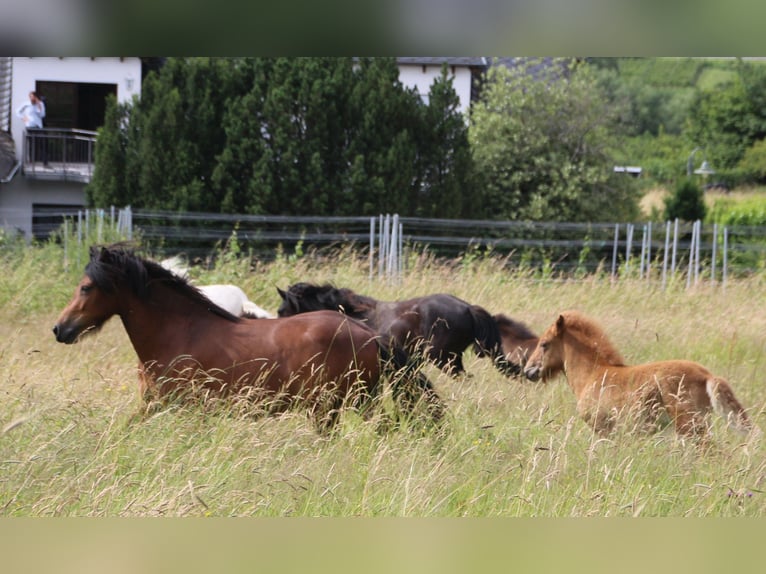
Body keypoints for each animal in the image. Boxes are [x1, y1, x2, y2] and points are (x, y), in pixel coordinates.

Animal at [52, 248, 444, 432]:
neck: (178, 332)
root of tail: (368, 335)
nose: (60, 329)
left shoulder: (185, 408)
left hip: (339, 407)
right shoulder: (153, 405)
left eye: (86, 287)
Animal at [528, 310, 756, 440]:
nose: (529, 370)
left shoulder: (603, 429)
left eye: (544, 344)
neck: (593, 374)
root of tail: (707, 375)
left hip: (689, 424)